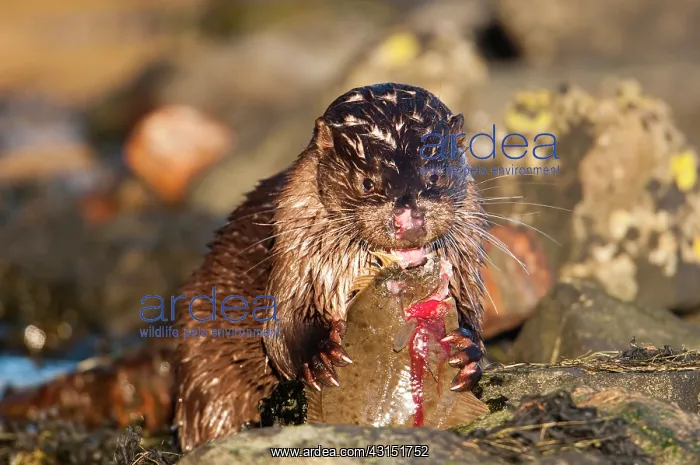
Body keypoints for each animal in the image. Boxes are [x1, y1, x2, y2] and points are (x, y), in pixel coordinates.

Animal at [174, 83, 488, 451]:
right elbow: (279, 332)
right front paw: (319, 354)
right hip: (202, 366)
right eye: (367, 182)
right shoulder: (294, 264)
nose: (408, 220)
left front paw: (467, 349)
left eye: (435, 176)